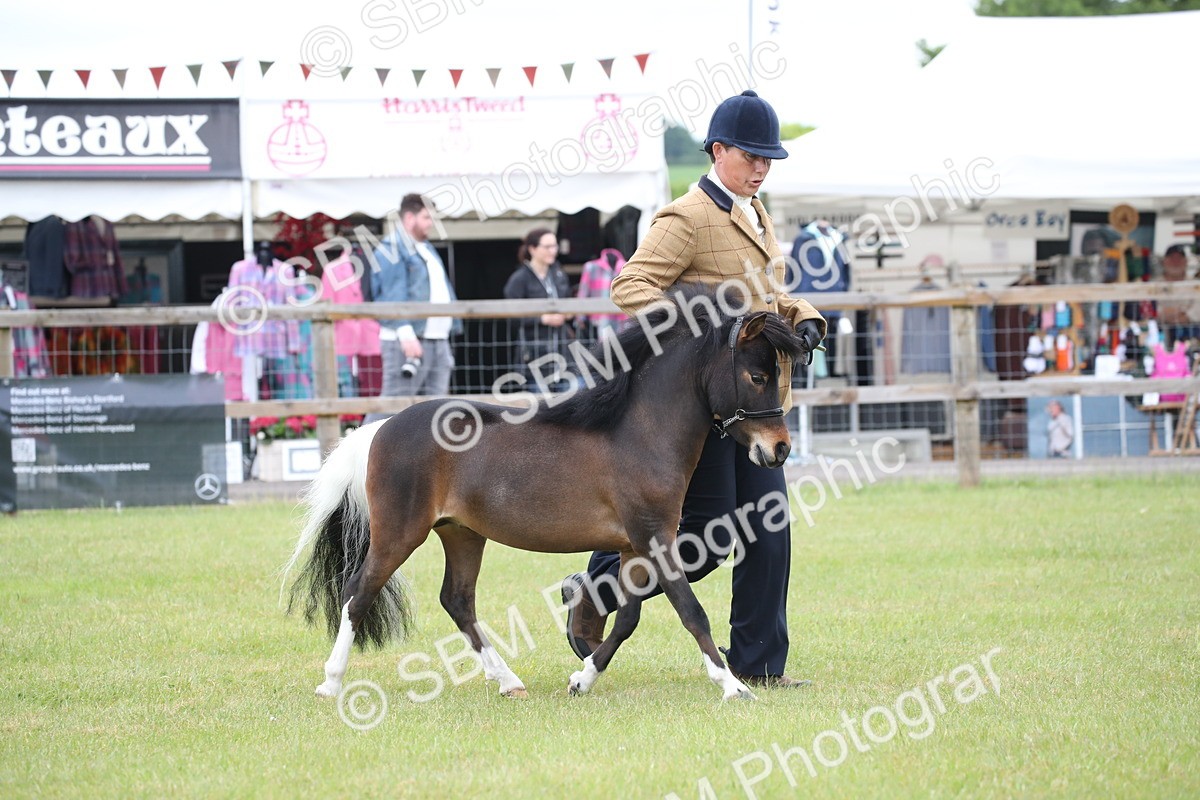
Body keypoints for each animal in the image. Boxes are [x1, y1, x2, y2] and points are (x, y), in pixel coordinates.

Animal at [285, 286, 810, 701]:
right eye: (757, 377)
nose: (779, 449)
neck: (640, 433)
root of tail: (380, 428)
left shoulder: (634, 547)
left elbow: (628, 618)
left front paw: (582, 679)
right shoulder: (655, 539)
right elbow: (691, 611)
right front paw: (733, 686)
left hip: (462, 534)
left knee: (457, 601)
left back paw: (508, 681)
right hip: (400, 532)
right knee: (358, 593)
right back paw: (330, 683)